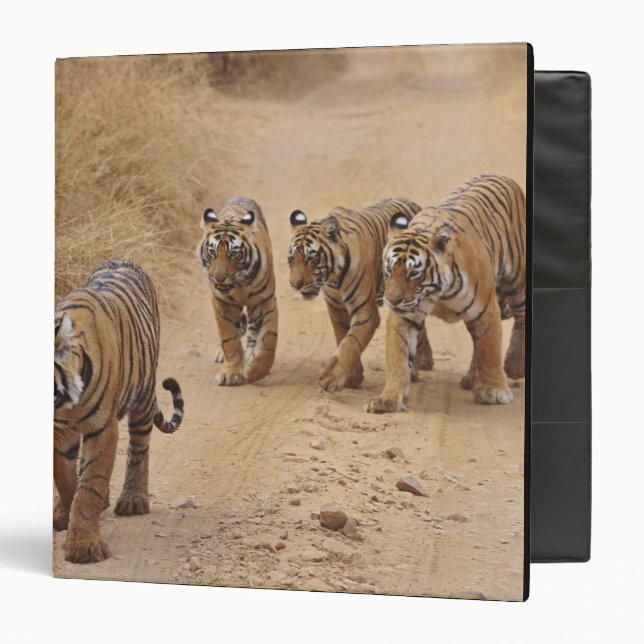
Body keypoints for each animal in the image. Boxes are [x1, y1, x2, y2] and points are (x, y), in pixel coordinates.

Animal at [54, 260, 184, 563]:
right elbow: (64, 476)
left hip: (143, 397)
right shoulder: (58, 430)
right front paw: (64, 514)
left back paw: (133, 499)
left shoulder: (103, 426)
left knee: (138, 449)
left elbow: (91, 484)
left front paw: (83, 545)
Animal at [198, 196, 278, 385]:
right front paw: (232, 373)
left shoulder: (265, 301)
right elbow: (229, 340)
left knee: (253, 333)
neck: (239, 284)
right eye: (212, 252)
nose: (218, 277)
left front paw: (256, 370)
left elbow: (269, 338)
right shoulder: (222, 304)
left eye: (233, 254)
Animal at [288, 197, 434, 392]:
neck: (334, 278)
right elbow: (343, 338)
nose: (295, 285)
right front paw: (353, 378)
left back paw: (416, 369)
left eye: (312, 259)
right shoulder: (336, 308)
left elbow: (351, 343)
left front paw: (333, 379)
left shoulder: (366, 312)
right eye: (291, 259)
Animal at [365, 174, 526, 413]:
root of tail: (501, 177)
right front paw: (389, 399)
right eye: (389, 270)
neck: (437, 292)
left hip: (517, 280)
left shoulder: (485, 309)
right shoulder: (404, 315)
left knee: (521, 317)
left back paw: (515, 366)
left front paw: (494, 392)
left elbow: (489, 351)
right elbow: (398, 358)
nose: (391, 300)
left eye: (413, 274)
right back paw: (472, 378)